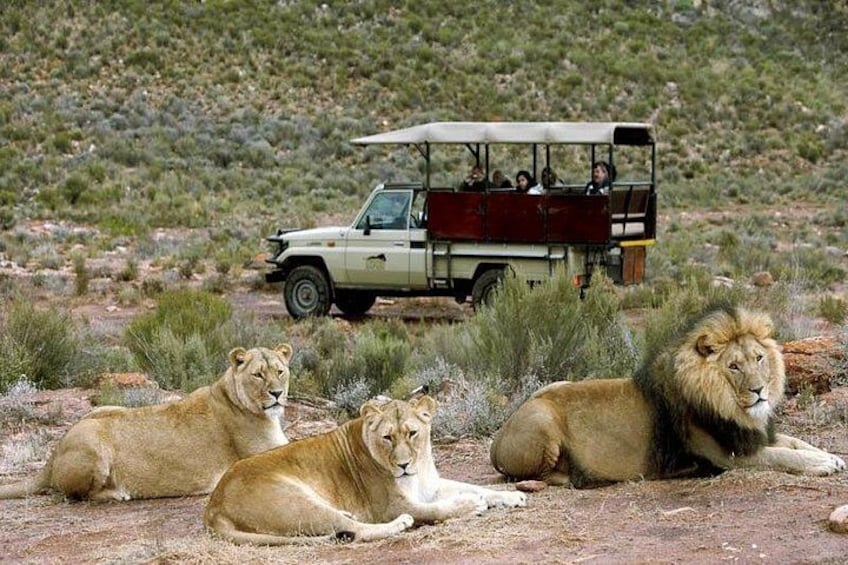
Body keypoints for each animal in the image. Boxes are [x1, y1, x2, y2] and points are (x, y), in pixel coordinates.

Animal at [0, 344, 294, 502]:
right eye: (258, 375)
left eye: (280, 371)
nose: (277, 393)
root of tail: (54, 453)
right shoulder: (262, 457)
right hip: (93, 445)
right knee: (75, 495)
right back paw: (118, 493)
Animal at [204, 395, 527, 544]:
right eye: (387, 437)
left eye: (412, 433)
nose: (403, 465)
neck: (420, 467)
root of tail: (213, 506)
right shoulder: (392, 504)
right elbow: (437, 509)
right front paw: (472, 505)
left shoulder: (430, 486)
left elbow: (476, 486)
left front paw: (512, 496)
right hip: (296, 500)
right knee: (353, 530)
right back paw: (399, 524)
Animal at [490, 306, 846, 488]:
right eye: (733, 366)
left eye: (759, 358)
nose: (759, 390)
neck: (734, 409)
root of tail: (497, 438)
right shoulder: (728, 456)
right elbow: (783, 456)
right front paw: (822, 464)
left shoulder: (749, 436)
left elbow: (795, 443)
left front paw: (831, 456)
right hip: (542, 418)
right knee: (538, 475)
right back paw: (578, 477)